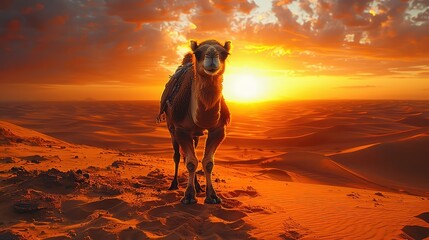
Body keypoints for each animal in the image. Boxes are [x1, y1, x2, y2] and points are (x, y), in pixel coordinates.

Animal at [157, 39, 231, 204]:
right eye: (198, 53)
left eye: (225, 53)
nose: (212, 55)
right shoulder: (181, 129)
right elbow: (190, 162)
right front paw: (189, 196)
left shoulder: (218, 130)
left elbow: (208, 163)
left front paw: (212, 196)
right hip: (171, 128)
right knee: (178, 156)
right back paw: (174, 184)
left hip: (195, 135)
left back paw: (198, 186)